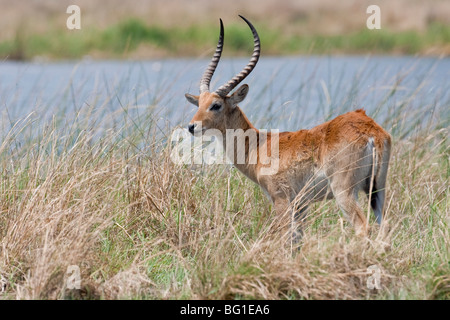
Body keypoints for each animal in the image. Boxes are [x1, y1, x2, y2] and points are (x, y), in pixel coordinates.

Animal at [185, 16, 392, 238]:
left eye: (216, 105)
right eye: (199, 104)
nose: (192, 126)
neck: (258, 146)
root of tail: (370, 129)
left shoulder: (281, 199)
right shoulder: (301, 205)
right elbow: (298, 238)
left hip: (344, 191)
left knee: (363, 227)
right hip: (377, 190)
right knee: (385, 226)